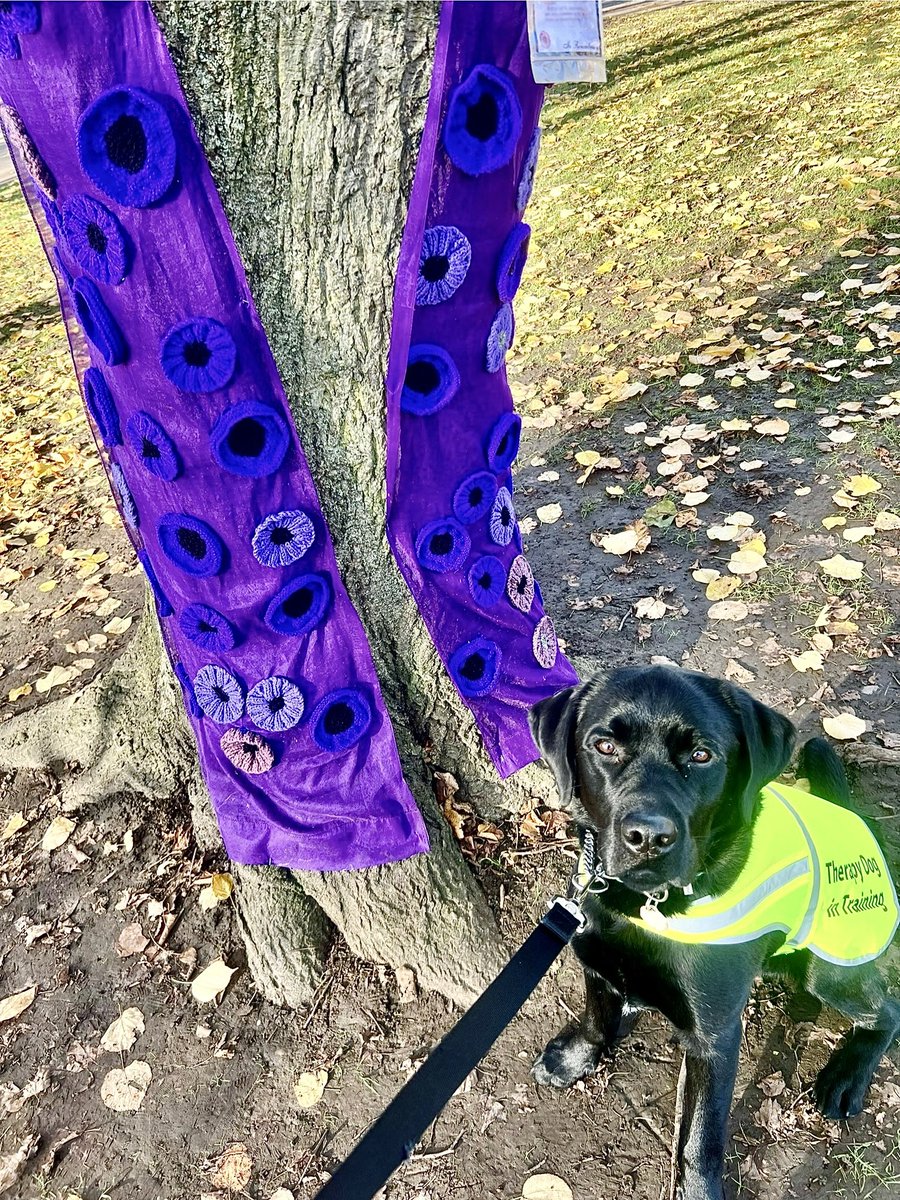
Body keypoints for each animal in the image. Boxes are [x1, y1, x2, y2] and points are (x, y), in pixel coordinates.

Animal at [532, 667, 897, 1200]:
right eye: (604, 746)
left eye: (702, 755)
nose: (648, 837)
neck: (645, 907)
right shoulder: (595, 958)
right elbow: (597, 1014)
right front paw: (576, 1057)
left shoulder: (714, 1039)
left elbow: (700, 1137)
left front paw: (698, 1190)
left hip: (828, 967)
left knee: (886, 1011)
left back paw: (846, 1076)